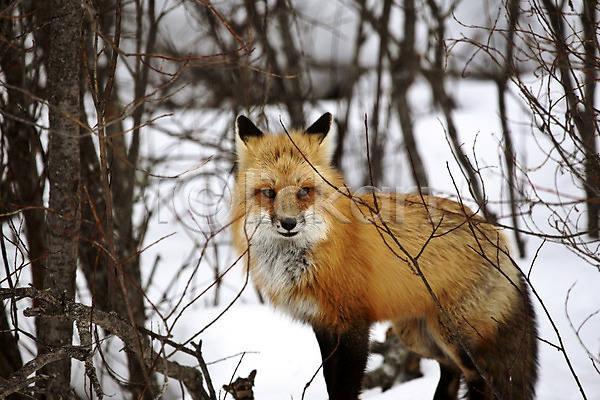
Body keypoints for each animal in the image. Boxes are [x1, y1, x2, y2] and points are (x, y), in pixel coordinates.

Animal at [231, 113, 540, 400]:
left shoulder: (354, 324)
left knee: (480, 378)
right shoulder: (323, 324)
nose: (289, 223)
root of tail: (500, 238)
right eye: (268, 193)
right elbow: (331, 385)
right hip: (418, 336)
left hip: (455, 336)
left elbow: (344, 390)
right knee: (451, 372)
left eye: (304, 191)